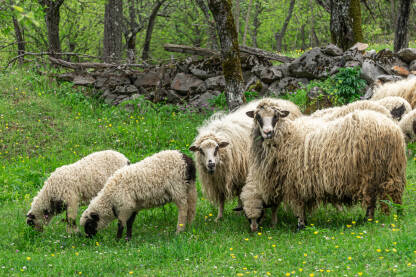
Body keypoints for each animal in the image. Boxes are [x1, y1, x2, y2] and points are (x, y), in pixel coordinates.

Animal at [242, 99, 408, 231]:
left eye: (276, 116)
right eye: (258, 117)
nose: (267, 132)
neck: (287, 136)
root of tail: (392, 127)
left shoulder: (294, 182)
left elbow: (299, 206)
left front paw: (300, 226)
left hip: (371, 172)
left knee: (376, 197)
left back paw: (379, 218)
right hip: (392, 169)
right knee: (392, 193)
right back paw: (393, 215)